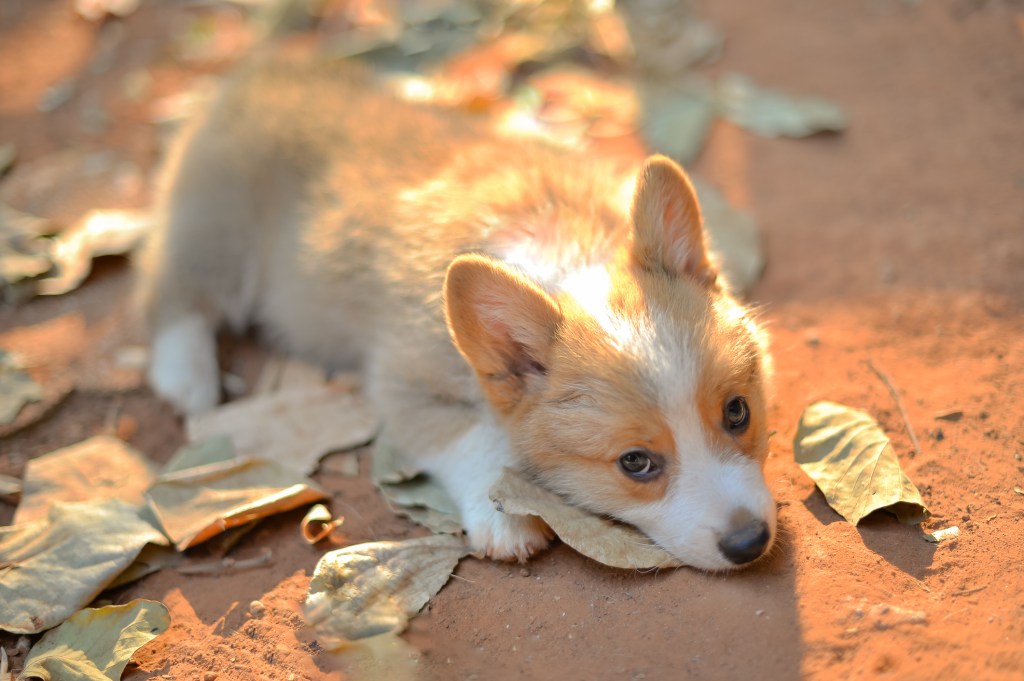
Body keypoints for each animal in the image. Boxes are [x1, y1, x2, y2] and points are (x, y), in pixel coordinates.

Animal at [142, 58, 774, 569]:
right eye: (637, 463)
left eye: (738, 412)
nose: (750, 543)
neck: (563, 261)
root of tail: (253, 76)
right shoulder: (403, 386)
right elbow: (478, 440)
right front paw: (504, 517)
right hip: (217, 235)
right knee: (171, 293)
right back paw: (187, 376)